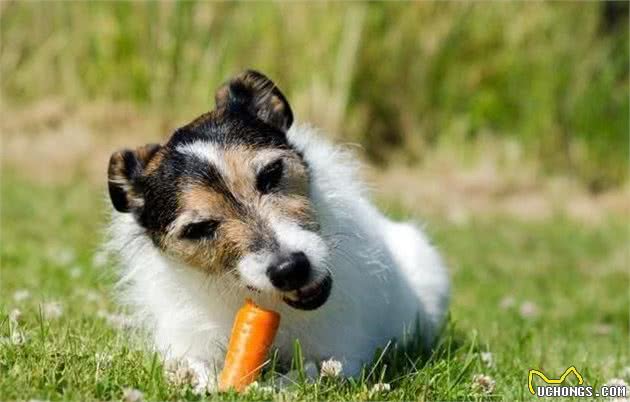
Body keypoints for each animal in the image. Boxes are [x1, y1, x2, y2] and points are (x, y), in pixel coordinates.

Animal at [108, 70, 452, 392]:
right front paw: (204, 382)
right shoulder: (185, 343)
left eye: (271, 173)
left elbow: (308, 373)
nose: (291, 269)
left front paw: (270, 387)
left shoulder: (343, 354)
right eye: (199, 228)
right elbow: (190, 366)